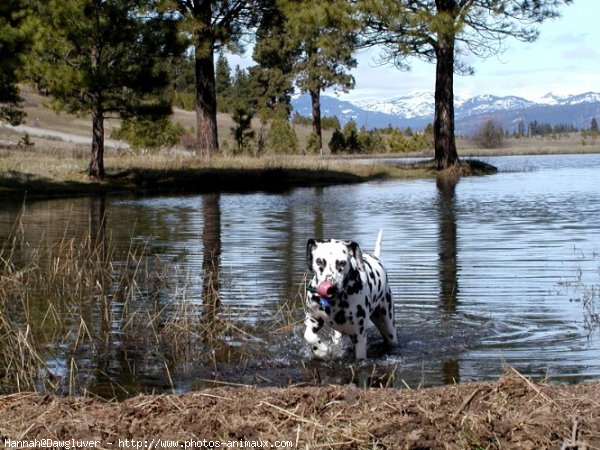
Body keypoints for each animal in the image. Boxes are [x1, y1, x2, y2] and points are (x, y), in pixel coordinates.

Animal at [304, 230, 398, 360]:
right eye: (319, 261)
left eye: (342, 263)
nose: (331, 287)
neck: (333, 303)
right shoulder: (313, 318)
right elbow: (309, 336)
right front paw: (322, 351)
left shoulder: (359, 337)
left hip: (388, 326)